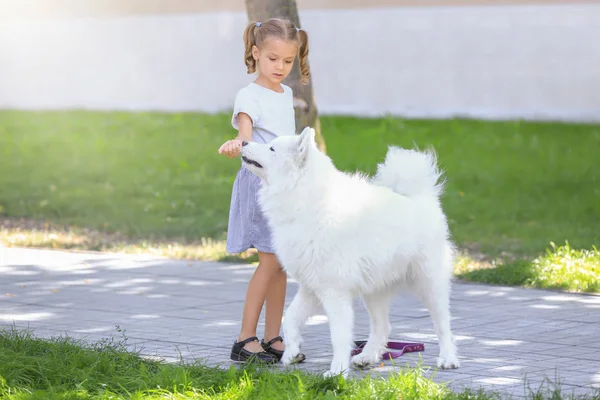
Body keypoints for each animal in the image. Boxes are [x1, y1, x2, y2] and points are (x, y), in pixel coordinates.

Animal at [239, 126, 460, 376]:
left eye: (272, 148)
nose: (243, 142)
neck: (307, 199)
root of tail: (422, 197)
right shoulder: (311, 286)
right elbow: (291, 318)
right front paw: (292, 351)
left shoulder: (334, 291)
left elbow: (338, 335)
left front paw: (337, 371)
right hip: (375, 290)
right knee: (383, 327)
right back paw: (366, 357)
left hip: (428, 282)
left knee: (443, 324)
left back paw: (448, 358)